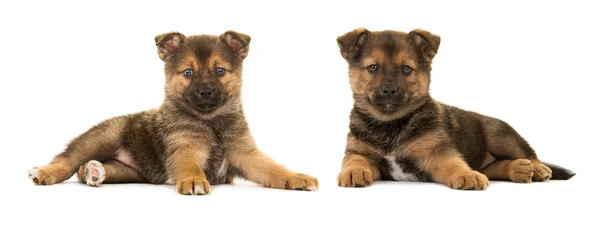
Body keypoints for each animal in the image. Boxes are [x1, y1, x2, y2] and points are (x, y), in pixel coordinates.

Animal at [28, 30, 318, 194]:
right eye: (188, 73)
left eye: (220, 71)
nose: (206, 92)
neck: (211, 123)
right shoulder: (184, 147)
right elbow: (189, 166)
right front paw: (193, 180)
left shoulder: (246, 153)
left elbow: (273, 169)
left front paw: (296, 177)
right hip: (101, 138)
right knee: (68, 159)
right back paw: (46, 172)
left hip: (135, 171)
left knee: (94, 168)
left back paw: (95, 172)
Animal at [336, 27, 576, 190]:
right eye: (373, 68)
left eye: (406, 69)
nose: (388, 90)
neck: (390, 125)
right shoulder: (358, 151)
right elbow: (355, 160)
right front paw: (353, 172)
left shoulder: (438, 152)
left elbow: (454, 164)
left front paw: (466, 176)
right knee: (493, 167)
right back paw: (518, 169)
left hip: (499, 134)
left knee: (529, 153)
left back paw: (537, 168)